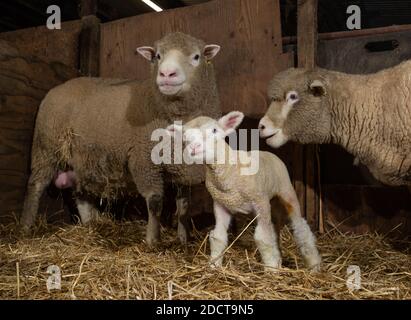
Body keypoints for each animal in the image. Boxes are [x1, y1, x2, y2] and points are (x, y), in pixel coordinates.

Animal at [20, 31, 222, 245]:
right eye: (157, 56)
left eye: (196, 56)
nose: (166, 74)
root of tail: (58, 87)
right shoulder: (144, 160)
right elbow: (155, 202)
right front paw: (152, 240)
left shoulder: (183, 169)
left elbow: (183, 206)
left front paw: (183, 239)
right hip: (46, 147)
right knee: (36, 184)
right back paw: (25, 227)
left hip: (82, 159)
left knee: (81, 194)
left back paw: (90, 225)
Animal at [167, 111, 322, 272]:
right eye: (185, 136)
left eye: (215, 130)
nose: (194, 147)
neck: (229, 170)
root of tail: (268, 153)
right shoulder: (221, 204)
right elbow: (218, 236)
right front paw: (214, 265)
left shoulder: (260, 202)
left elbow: (263, 238)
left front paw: (271, 269)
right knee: (274, 229)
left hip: (285, 190)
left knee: (300, 227)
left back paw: (314, 265)